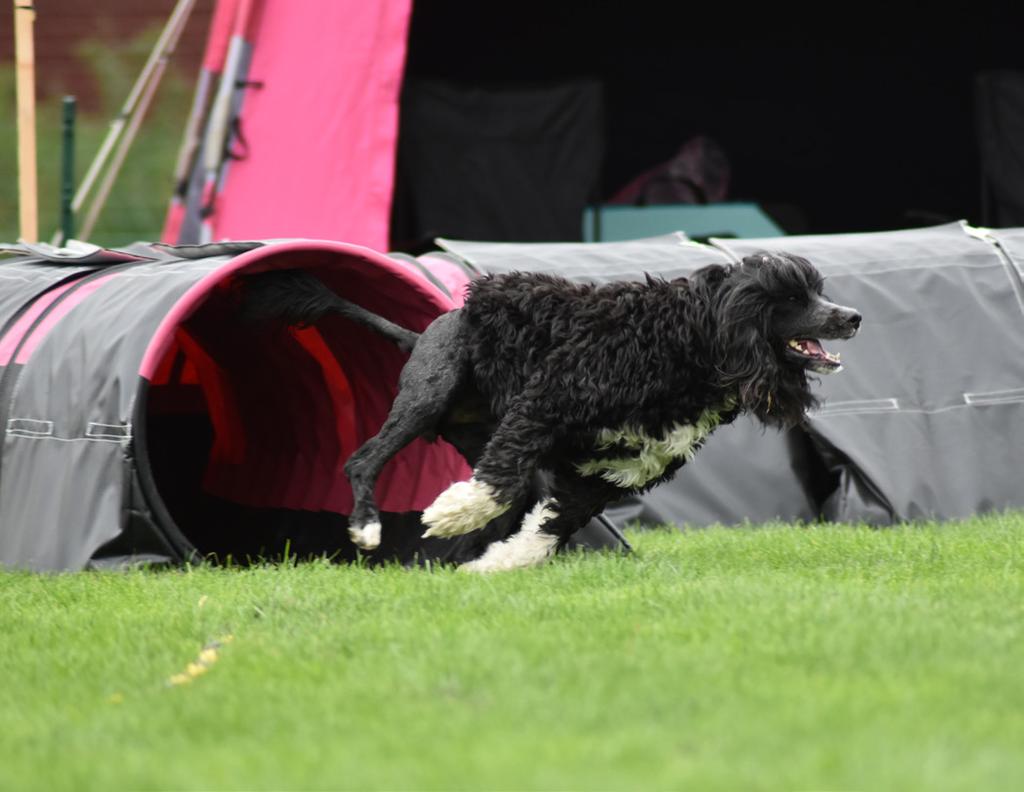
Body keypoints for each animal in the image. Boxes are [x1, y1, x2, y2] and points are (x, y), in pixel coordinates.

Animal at [243, 253, 860, 569]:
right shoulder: (550, 399)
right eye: (790, 297)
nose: (852, 316)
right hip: (425, 399)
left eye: (816, 291)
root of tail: (424, 331)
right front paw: (449, 513)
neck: (685, 345)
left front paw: (495, 564)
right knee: (362, 460)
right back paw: (368, 527)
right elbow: (495, 487)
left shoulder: (613, 471)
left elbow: (550, 522)